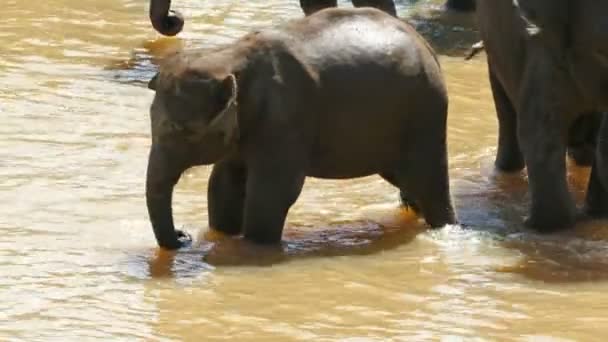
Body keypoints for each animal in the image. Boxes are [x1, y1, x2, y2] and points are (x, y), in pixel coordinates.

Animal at [145, 7, 454, 248]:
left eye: (184, 131)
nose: (183, 236)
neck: (229, 56)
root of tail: (426, 46)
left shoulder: (286, 119)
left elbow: (271, 194)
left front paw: (252, 246)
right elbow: (223, 185)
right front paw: (221, 236)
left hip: (425, 112)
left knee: (429, 180)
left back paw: (445, 228)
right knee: (408, 181)